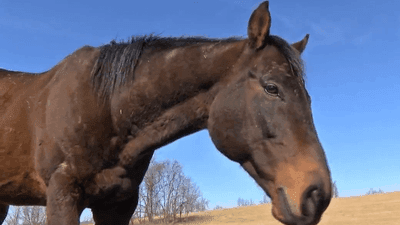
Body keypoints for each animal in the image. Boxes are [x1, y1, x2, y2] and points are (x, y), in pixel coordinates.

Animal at [0, 2, 332, 225]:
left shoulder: (118, 204)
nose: (317, 195)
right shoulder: (62, 197)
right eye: (272, 88)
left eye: (308, 97)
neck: (106, 107)